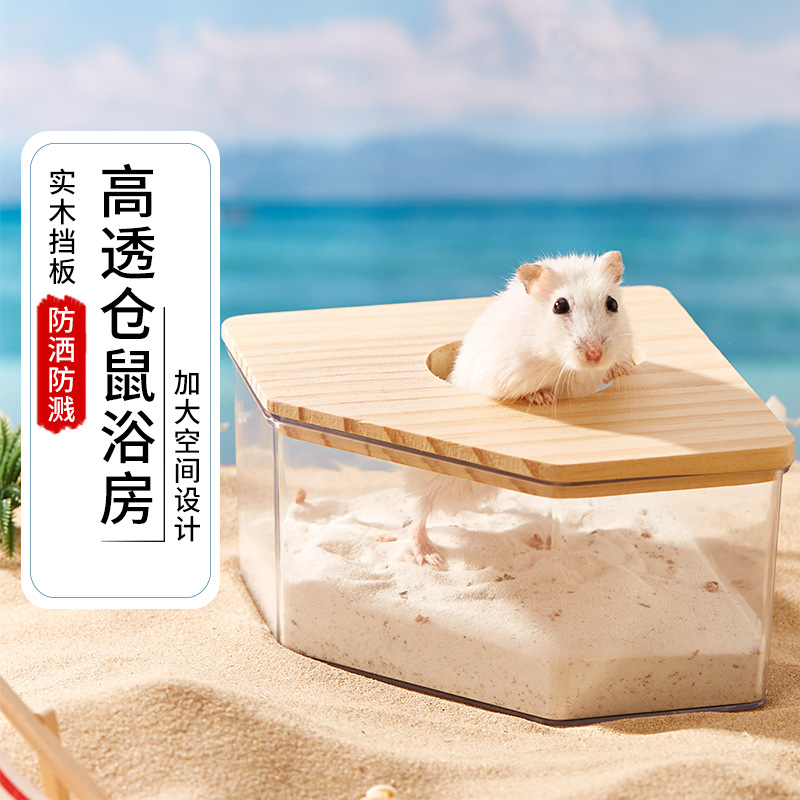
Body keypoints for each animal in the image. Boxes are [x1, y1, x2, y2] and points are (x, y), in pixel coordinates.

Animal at [407, 251, 635, 568]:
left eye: (612, 303)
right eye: (559, 305)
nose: (594, 355)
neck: (561, 363)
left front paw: (625, 367)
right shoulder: (500, 375)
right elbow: (521, 393)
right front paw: (543, 397)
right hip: (433, 474)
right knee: (416, 514)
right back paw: (431, 557)